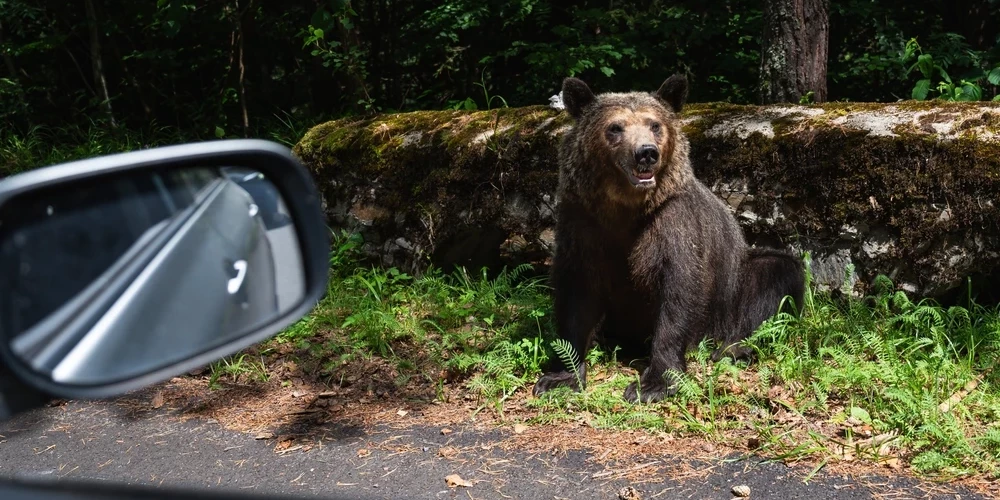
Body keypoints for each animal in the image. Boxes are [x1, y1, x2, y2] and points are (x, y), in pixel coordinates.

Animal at [532, 73, 804, 402]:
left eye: (655, 124)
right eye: (615, 127)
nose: (646, 152)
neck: (625, 208)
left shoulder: (672, 221)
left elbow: (678, 290)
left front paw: (653, 383)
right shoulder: (583, 221)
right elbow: (577, 292)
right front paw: (560, 376)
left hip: (732, 289)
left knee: (775, 273)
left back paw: (733, 349)